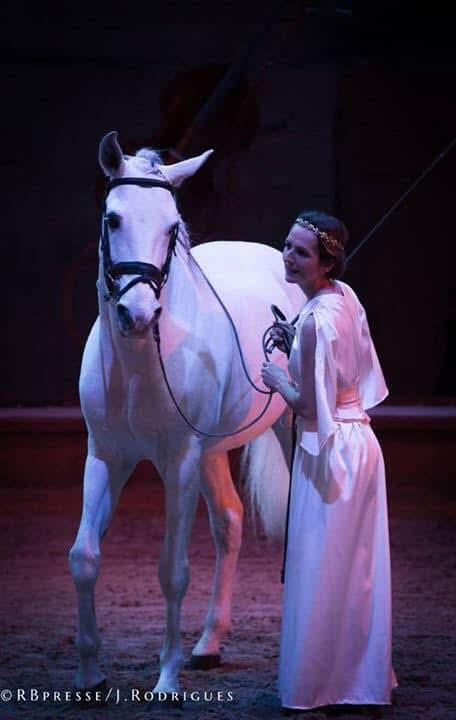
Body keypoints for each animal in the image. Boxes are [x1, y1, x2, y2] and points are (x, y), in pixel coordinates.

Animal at [68, 131, 304, 698]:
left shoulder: (178, 462)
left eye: (172, 227)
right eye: (113, 218)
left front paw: (166, 681)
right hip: (211, 451)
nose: (137, 314)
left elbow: (172, 572)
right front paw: (89, 676)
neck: (138, 365)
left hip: (283, 428)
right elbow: (84, 558)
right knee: (230, 524)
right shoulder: (106, 456)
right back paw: (208, 645)